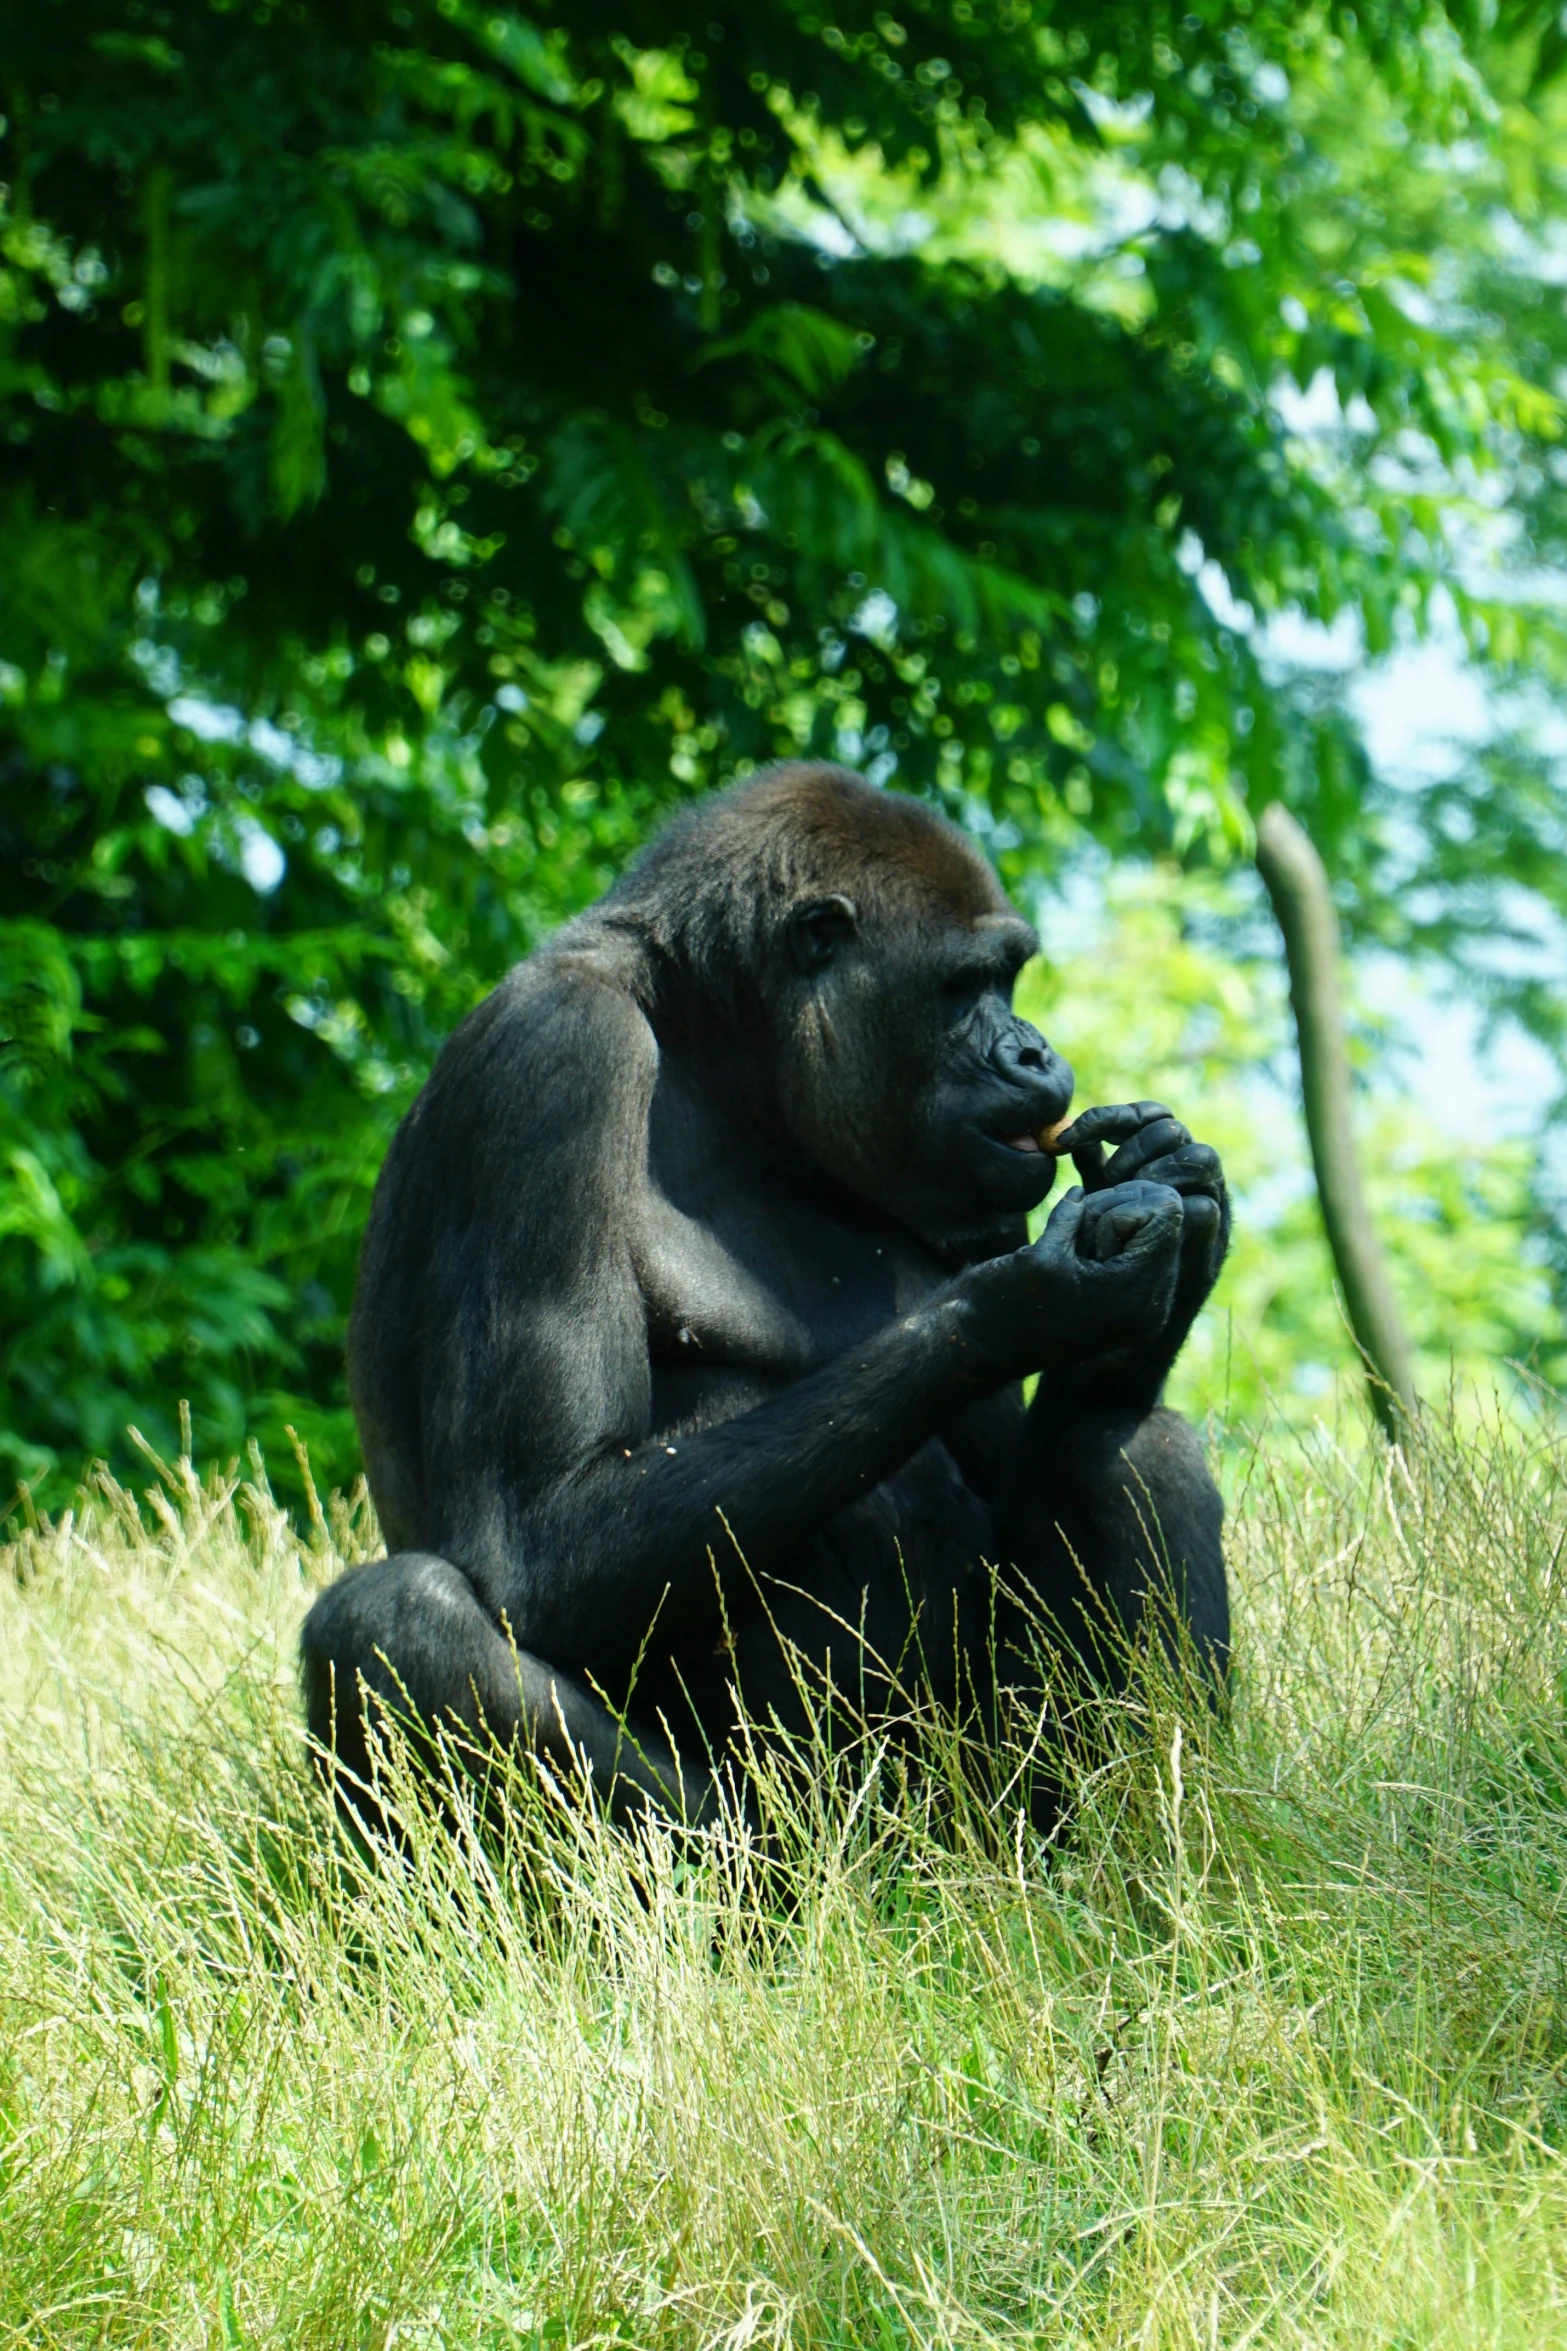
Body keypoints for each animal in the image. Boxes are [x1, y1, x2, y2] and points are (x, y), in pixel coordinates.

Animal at [305, 761, 1231, 1824]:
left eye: (1007, 981)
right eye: (964, 988)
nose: (1034, 1052)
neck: (720, 1045)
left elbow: (1045, 1448)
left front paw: (1173, 1193)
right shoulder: (554, 1052)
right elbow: (534, 1533)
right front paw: (1027, 1301)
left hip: (984, 1799)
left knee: (1129, 1448)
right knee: (392, 1622)